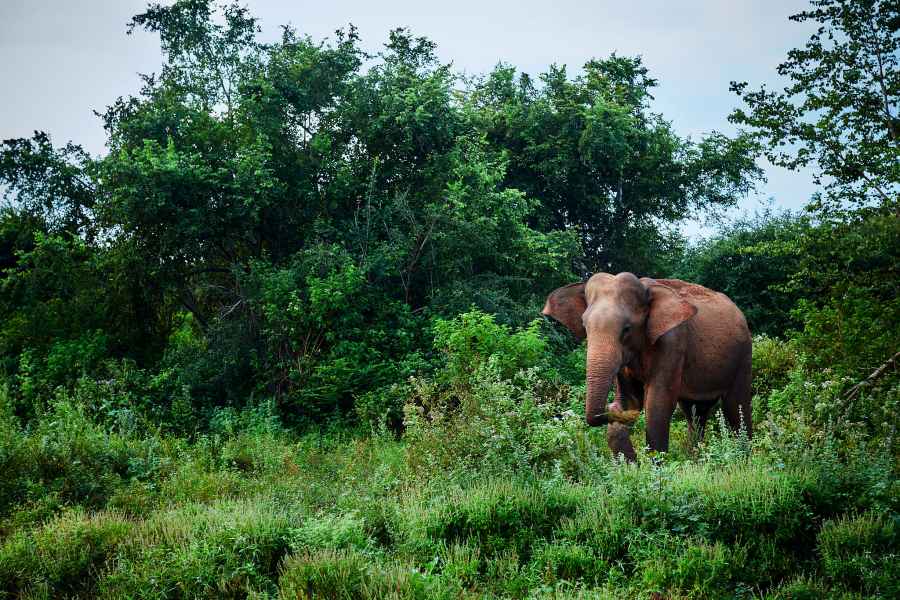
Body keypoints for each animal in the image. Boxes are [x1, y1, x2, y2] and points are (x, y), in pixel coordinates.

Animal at [542, 272, 752, 458]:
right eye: (585, 326)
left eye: (626, 329)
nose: (611, 407)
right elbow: (630, 398)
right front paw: (631, 467)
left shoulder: (672, 342)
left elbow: (658, 401)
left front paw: (657, 465)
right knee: (695, 412)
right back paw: (694, 458)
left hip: (743, 355)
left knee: (736, 405)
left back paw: (743, 455)